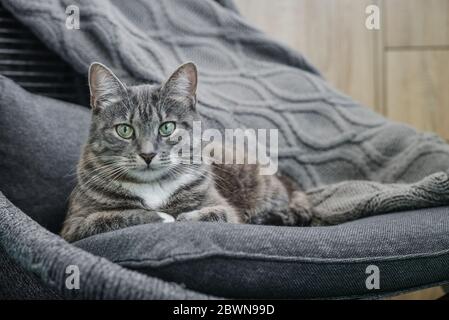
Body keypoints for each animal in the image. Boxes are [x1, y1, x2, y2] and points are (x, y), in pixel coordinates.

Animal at [61, 62, 314, 242]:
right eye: (124, 129)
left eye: (167, 127)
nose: (147, 154)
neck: (153, 187)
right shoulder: (73, 225)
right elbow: (111, 217)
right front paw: (162, 216)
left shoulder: (225, 208)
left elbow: (218, 213)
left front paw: (183, 216)